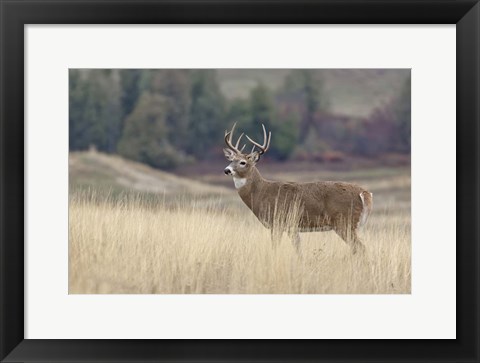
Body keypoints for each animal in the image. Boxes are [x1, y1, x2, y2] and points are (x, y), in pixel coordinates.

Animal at [223, 123, 374, 255]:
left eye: (243, 162)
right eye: (231, 160)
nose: (226, 170)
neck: (261, 193)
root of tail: (364, 193)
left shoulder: (278, 222)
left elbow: (276, 248)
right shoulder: (292, 227)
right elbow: (298, 250)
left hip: (344, 222)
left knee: (361, 248)